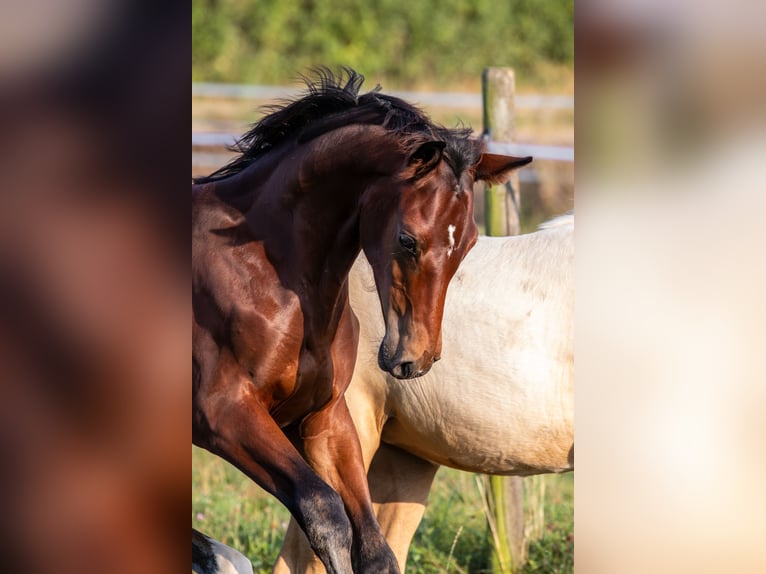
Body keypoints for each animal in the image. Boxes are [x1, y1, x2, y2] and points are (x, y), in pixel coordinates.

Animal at [190, 68, 536, 574]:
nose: (415, 359)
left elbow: (375, 547)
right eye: (408, 239)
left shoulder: (325, 420)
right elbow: (323, 511)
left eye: (469, 242)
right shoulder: (222, 413)